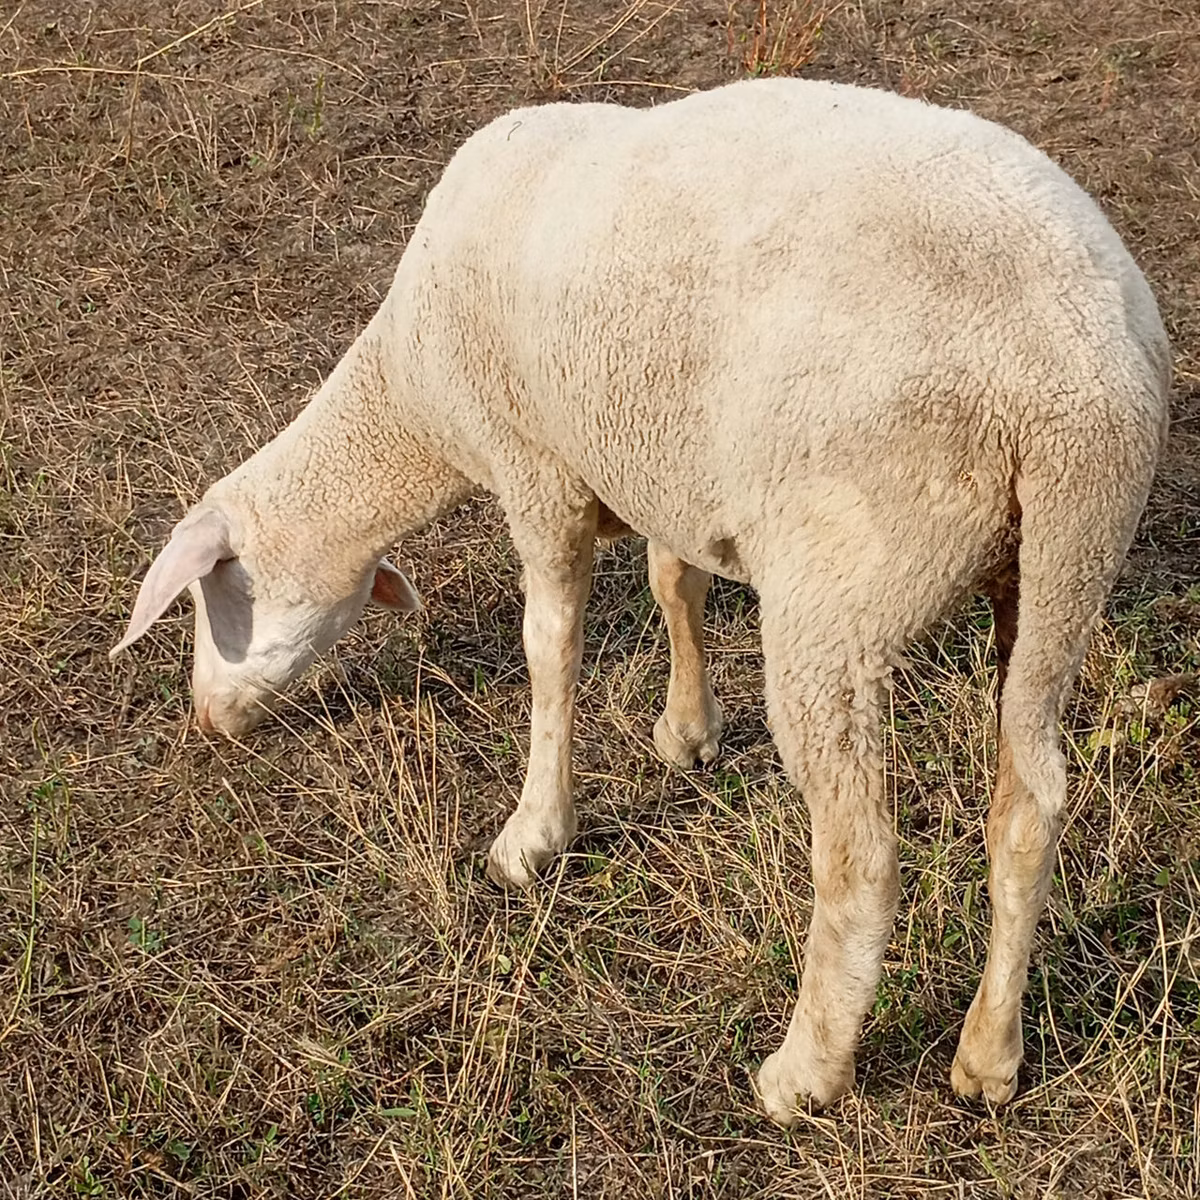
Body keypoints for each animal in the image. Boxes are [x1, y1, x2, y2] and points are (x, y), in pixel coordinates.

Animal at [111, 78, 1171, 1125]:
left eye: (212, 596)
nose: (206, 718)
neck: (412, 401)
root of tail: (1074, 388)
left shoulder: (536, 467)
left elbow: (550, 646)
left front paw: (534, 835)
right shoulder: (662, 462)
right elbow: (675, 582)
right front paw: (687, 731)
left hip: (842, 587)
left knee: (863, 857)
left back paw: (804, 1074)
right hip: (1060, 574)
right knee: (1030, 808)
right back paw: (990, 1058)